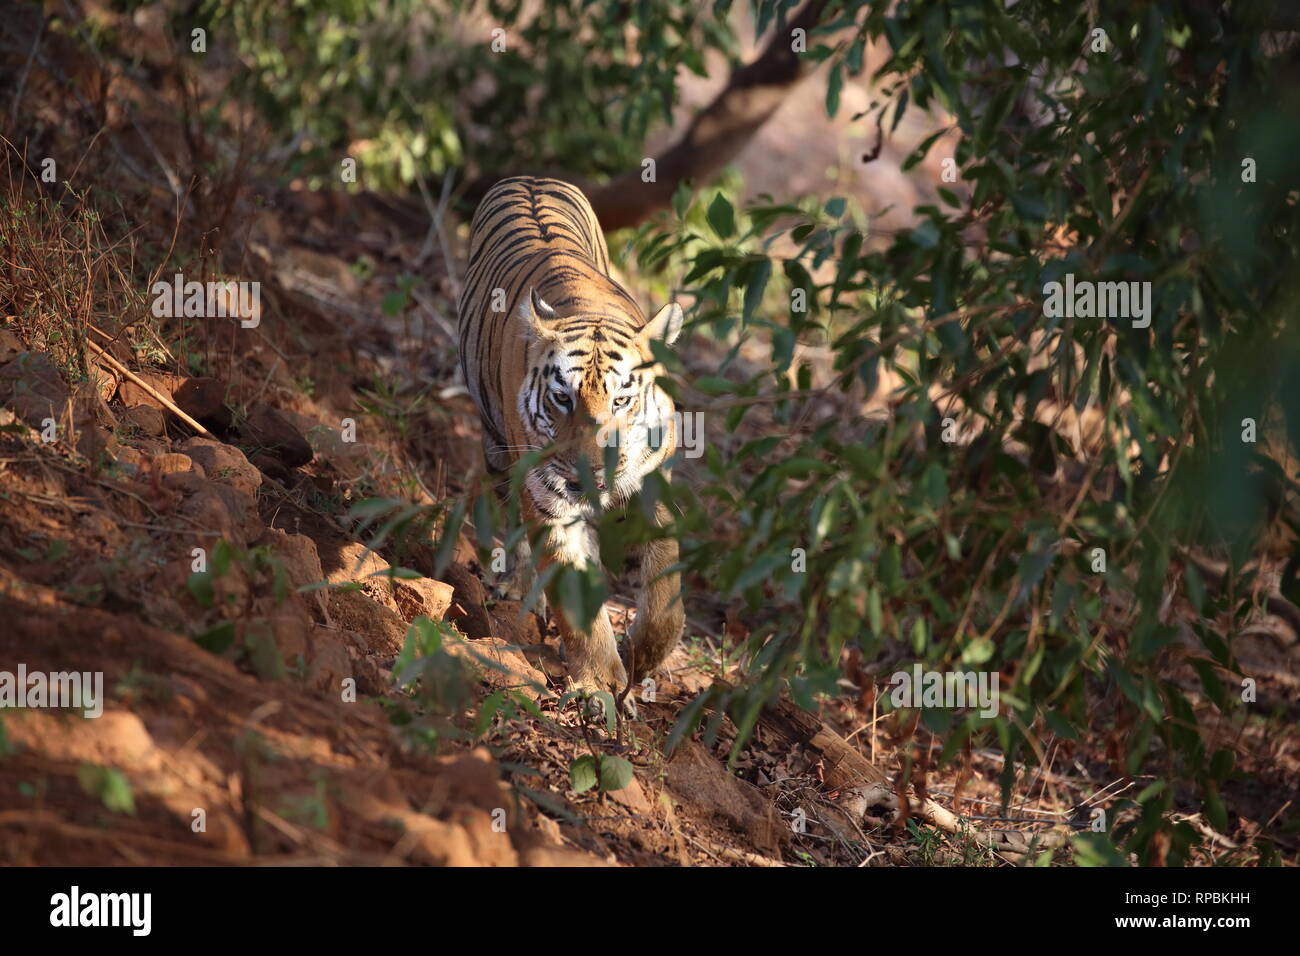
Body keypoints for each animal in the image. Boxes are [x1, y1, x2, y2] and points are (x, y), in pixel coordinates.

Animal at [454, 175, 686, 697]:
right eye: (563, 398)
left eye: (622, 401)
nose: (593, 473)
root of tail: (530, 176)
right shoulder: (549, 499)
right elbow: (573, 590)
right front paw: (599, 683)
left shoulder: (650, 487)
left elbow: (665, 586)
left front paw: (643, 657)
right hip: (497, 448)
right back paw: (519, 588)